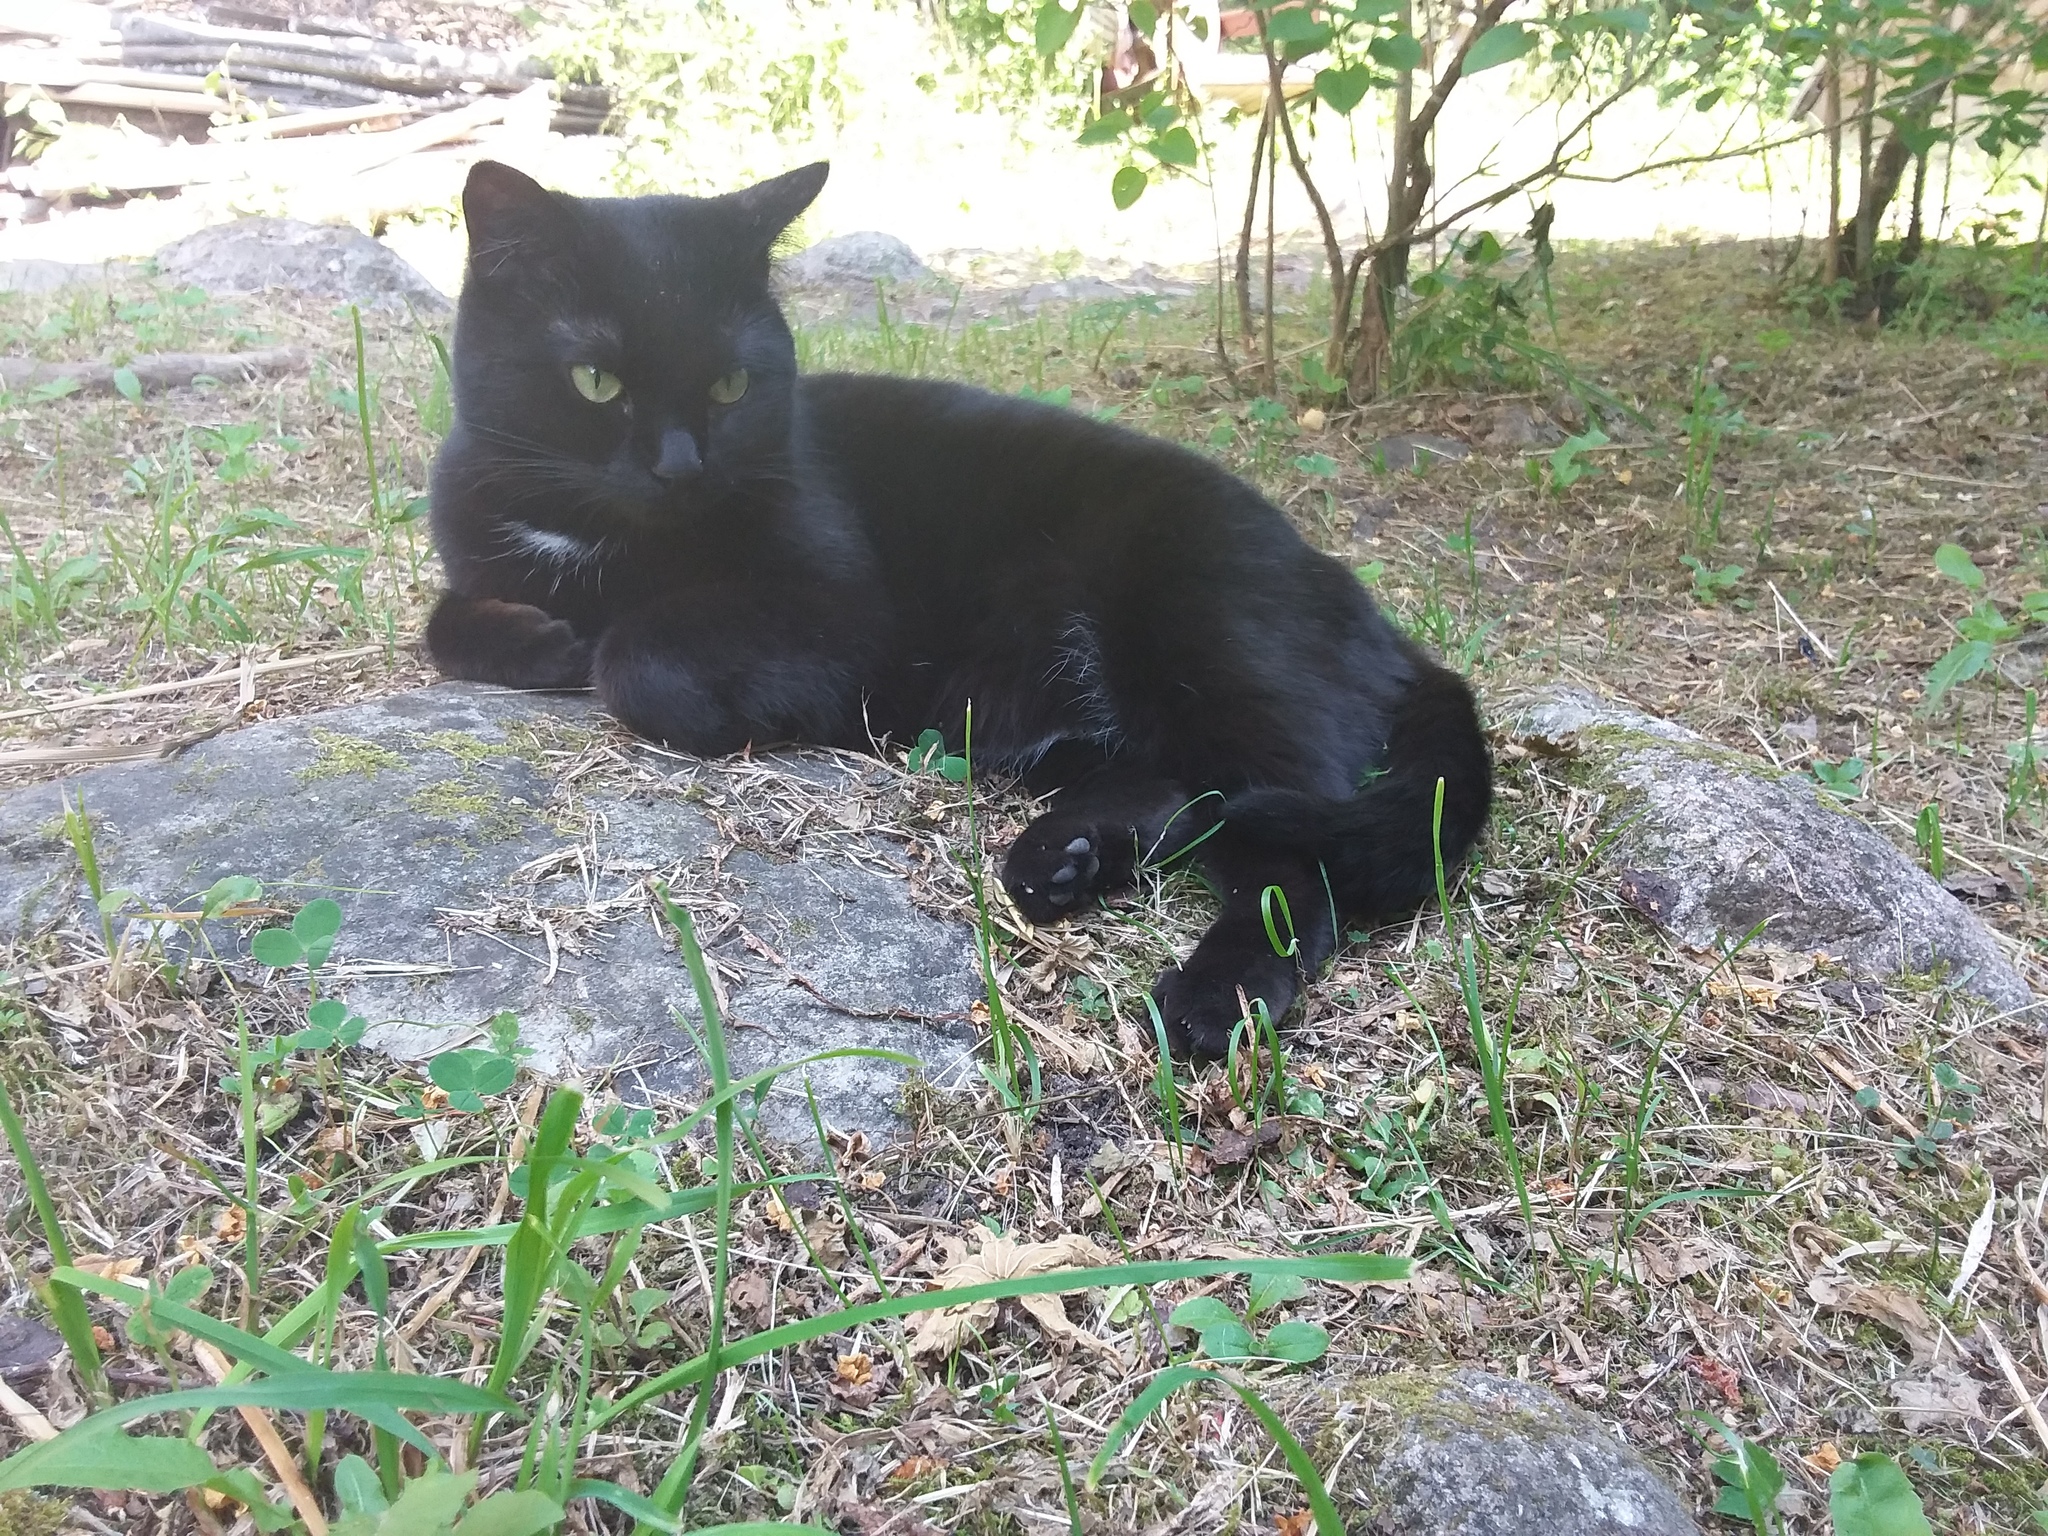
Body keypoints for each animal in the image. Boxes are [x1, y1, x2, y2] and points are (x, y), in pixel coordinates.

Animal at [428, 162, 1490, 1064]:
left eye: (732, 385)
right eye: (596, 381)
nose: (680, 469)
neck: (608, 541)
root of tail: (1377, 619)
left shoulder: (840, 619)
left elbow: (638, 658)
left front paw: (612, 655)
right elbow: (445, 618)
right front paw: (538, 637)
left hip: (1208, 641)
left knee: (1290, 866)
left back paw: (1210, 996)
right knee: (1176, 795)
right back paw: (1061, 859)